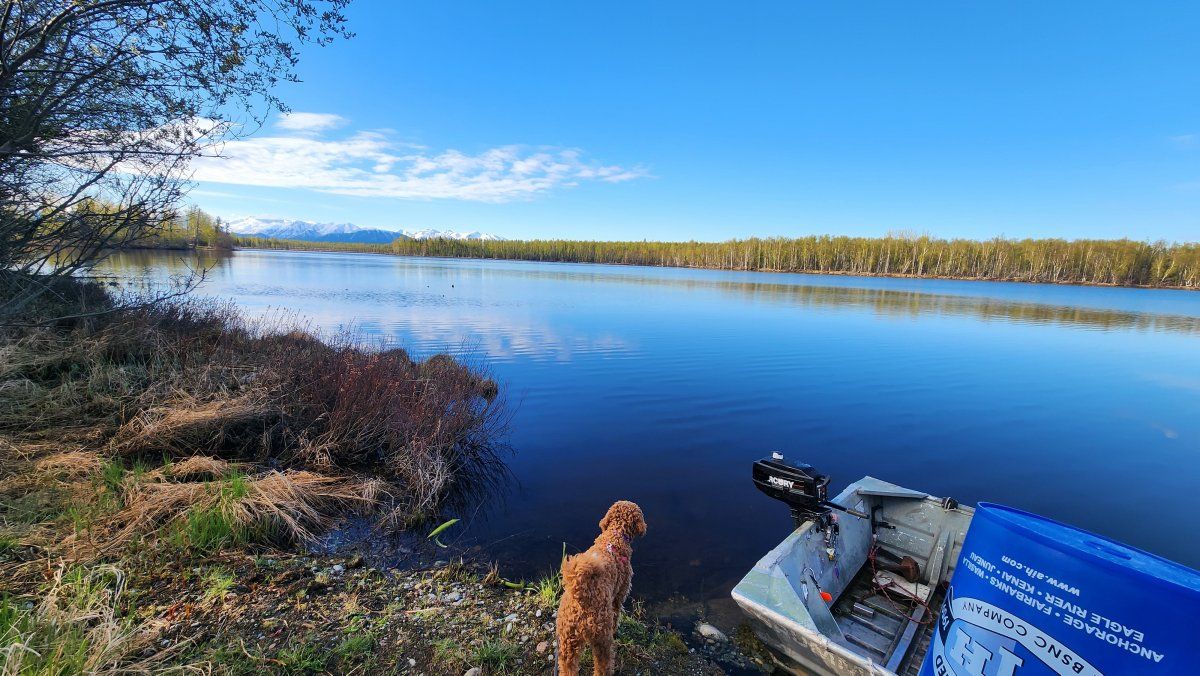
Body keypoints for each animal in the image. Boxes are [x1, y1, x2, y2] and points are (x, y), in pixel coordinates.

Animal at [554, 499, 648, 672]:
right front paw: (616, 630)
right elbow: (617, 616)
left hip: (567, 639)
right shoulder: (618, 598)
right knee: (602, 665)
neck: (615, 535)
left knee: (568, 668)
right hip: (601, 637)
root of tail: (581, 596)